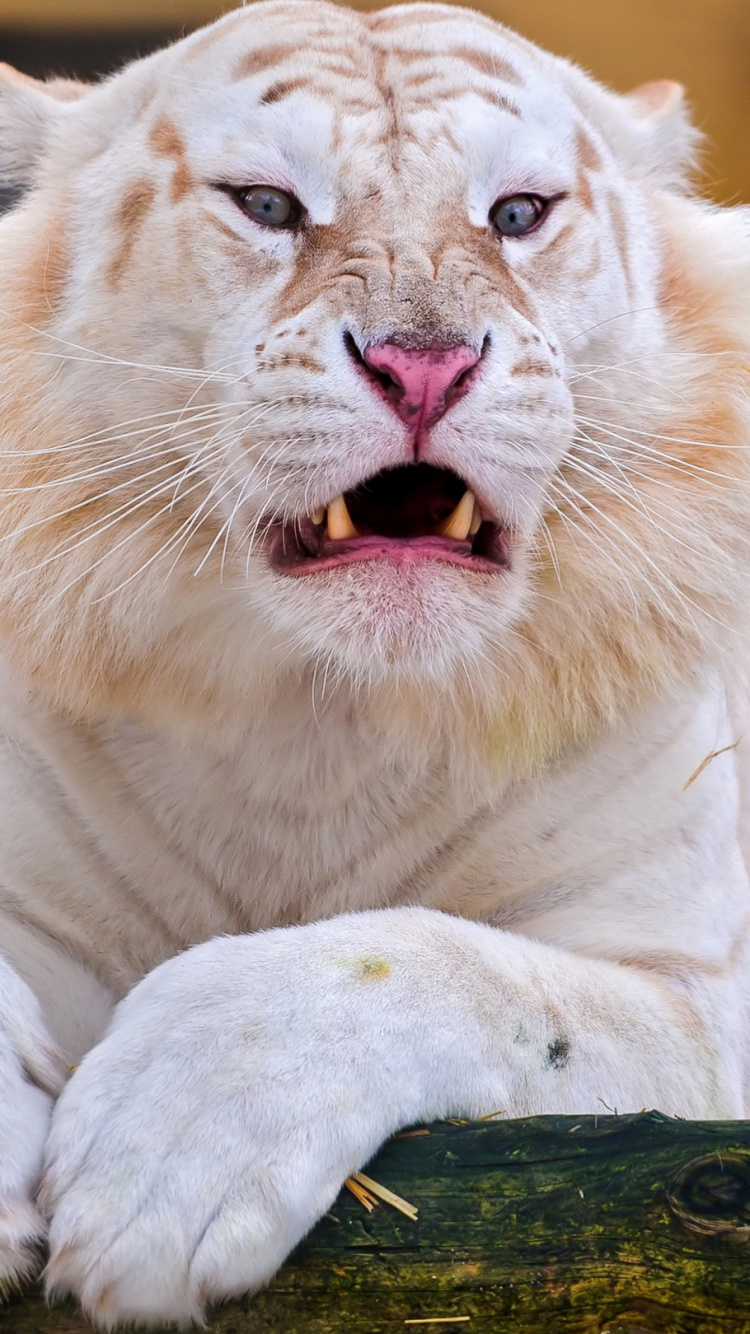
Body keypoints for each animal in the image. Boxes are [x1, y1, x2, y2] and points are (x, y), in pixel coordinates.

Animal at [0, 0, 748, 1325]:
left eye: (517, 213)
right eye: (266, 203)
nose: (424, 365)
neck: (320, 716)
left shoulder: (690, 986)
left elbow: (451, 962)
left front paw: (165, 1157)